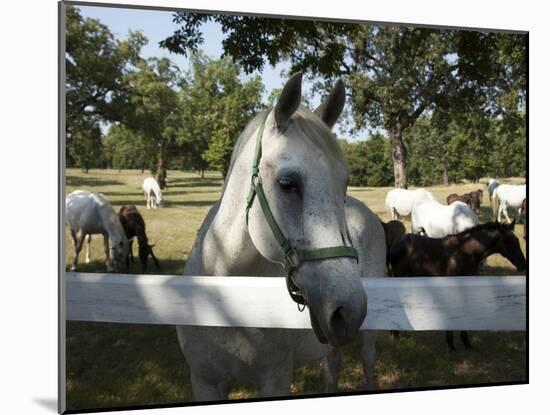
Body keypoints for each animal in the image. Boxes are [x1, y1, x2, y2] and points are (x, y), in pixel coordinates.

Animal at [175, 73, 386, 402]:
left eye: (344, 184)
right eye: (287, 183)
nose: (348, 311)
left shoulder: (274, 379)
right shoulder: (204, 380)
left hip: (367, 340)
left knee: (367, 361)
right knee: (332, 364)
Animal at [388, 221, 528, 352]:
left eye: (517, 241)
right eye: (511, 242)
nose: (523, 265)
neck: (465, 251)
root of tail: (394, 245)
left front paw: (466, 343)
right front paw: (451, 345)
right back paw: (396, 335)